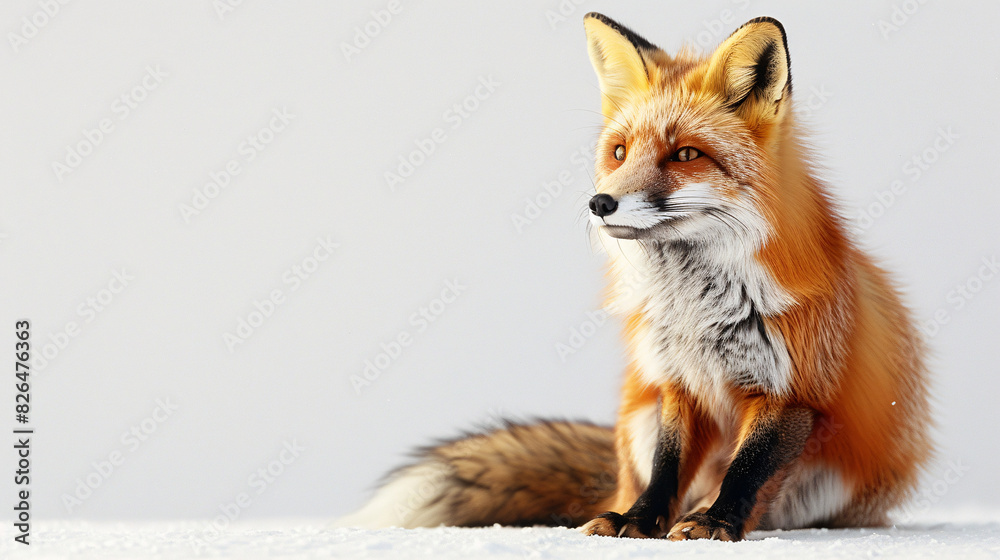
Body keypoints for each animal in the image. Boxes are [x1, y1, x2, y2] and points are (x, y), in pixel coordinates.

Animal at [337, 13, 932, 541]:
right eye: (620, 152)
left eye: (686, 154)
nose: (599, 203)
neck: (698, 309)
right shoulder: (674, 379)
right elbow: (666, 468)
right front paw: (639, 522)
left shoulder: (791, 388)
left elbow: (746, 469)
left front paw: (717, 522)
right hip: (639, 413)